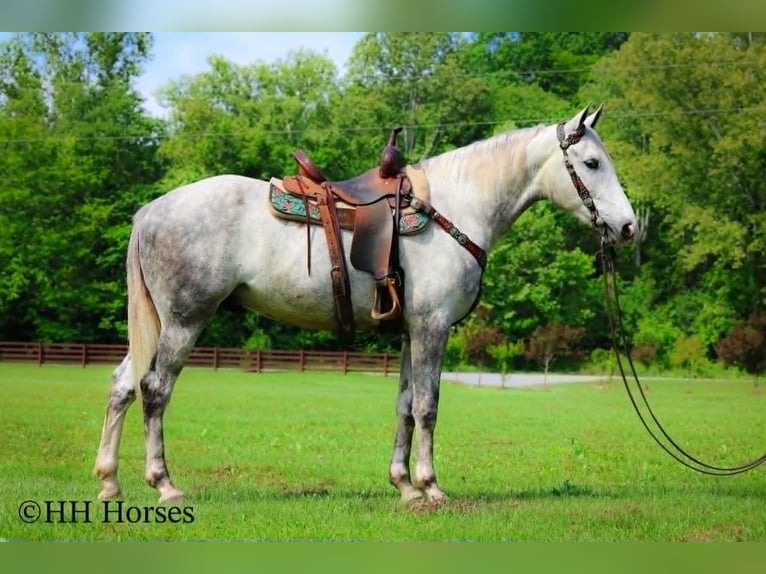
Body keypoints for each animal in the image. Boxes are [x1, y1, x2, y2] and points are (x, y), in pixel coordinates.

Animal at [93, 105, 638, 504]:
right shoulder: (432, 328)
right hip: (185, 320)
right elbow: (428, 406)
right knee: (154, 388)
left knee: (122, 384)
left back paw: (109, 481)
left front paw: (404, 486)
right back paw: (164, 484)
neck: (454, 208)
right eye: (591, 164)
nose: (630, 227)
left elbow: (404, 407)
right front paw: (431, 487)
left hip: (160, 322)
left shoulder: (410, 332)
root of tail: (152, 209)